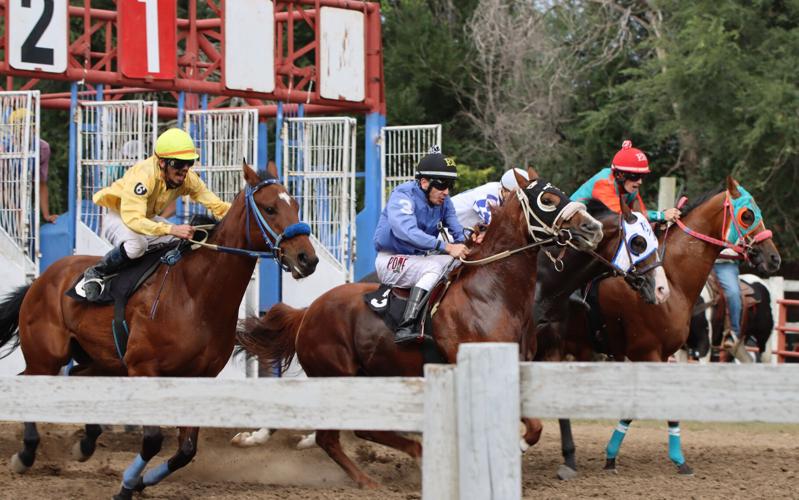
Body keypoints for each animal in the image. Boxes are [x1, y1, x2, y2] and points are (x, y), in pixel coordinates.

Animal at [0, 162, 318, 498]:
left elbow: (186, 450)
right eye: (270, 208)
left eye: (295, 205)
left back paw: (85, 444)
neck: (195, 294)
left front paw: (141, 480)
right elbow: (153, 440)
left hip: (101, 359)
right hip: (48, 353)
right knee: (30, 380)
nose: (307, 258)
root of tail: (41, 279)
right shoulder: (144, 369)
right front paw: (126, 485)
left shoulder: (198, 377)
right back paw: (26, 454)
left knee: (77, 377)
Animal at [238, 171, 608, 488]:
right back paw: (375, 477)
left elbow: (535, 426)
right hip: (340, 377)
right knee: (334, 435)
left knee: (359, 431)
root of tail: (307, 313)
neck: (492, 292)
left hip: (372, 377)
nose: (592, 228)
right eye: (548, 198)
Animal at [552, 176, 780, 476]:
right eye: (747, 214)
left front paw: (613, 455)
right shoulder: (650, 352)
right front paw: (677, 460)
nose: (774, 258)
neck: (672, 280)